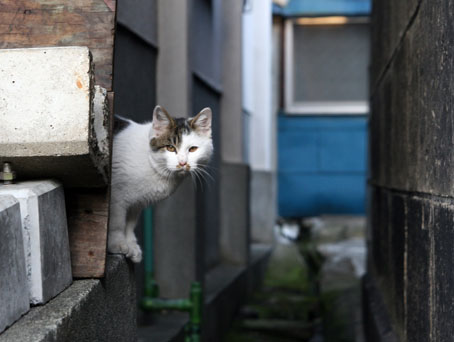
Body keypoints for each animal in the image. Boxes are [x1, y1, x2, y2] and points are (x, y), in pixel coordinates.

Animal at [107, 105, 213, 264]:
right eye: (170, 148)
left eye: (193, 149)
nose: (183, 163)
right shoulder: (116, 196)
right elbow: (117, 222)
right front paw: (117, 244)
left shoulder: (135, 204)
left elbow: (130, 224)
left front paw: (132, 246)